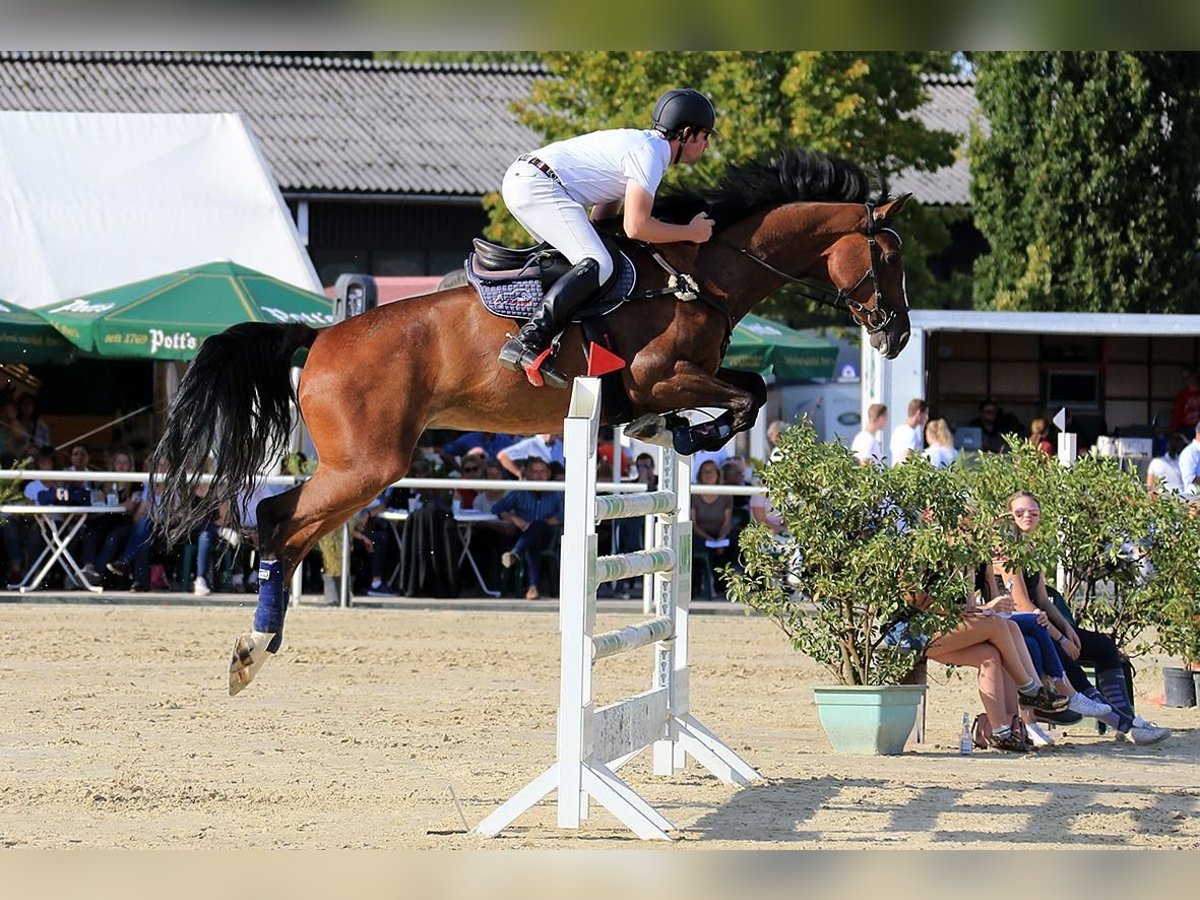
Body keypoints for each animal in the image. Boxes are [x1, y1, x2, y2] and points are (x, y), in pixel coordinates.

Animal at [154, 150, 912, 696]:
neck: (704, 275)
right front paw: (686, 433)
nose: (897, 336)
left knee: (287, 528)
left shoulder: (683, 375)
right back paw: (253, 648)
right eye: (888, 256)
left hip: (363, 467)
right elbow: (746, 398)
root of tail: (321, 338)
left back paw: (259, 646)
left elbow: (750, 387)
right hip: (367, 464)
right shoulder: (658, 374)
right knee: (277, 518)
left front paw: (676, 434)